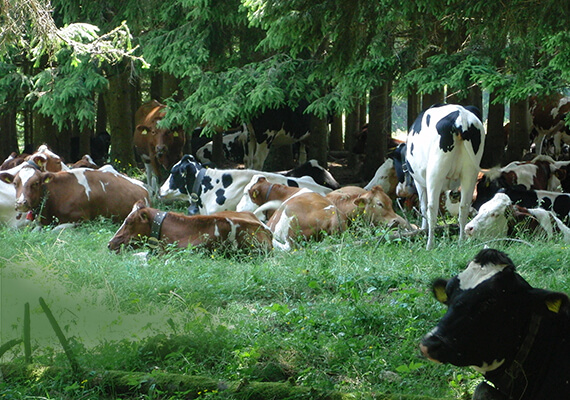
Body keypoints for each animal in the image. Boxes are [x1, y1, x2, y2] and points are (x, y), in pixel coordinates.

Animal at [404, 103, 484, 250]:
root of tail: (461, 118)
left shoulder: (419, 182)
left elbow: (423, 206)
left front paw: (422, 230)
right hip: (470, 172)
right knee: (464, 206)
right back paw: (461, 241)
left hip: (435, 172)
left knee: (432, 207)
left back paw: (430, 244)